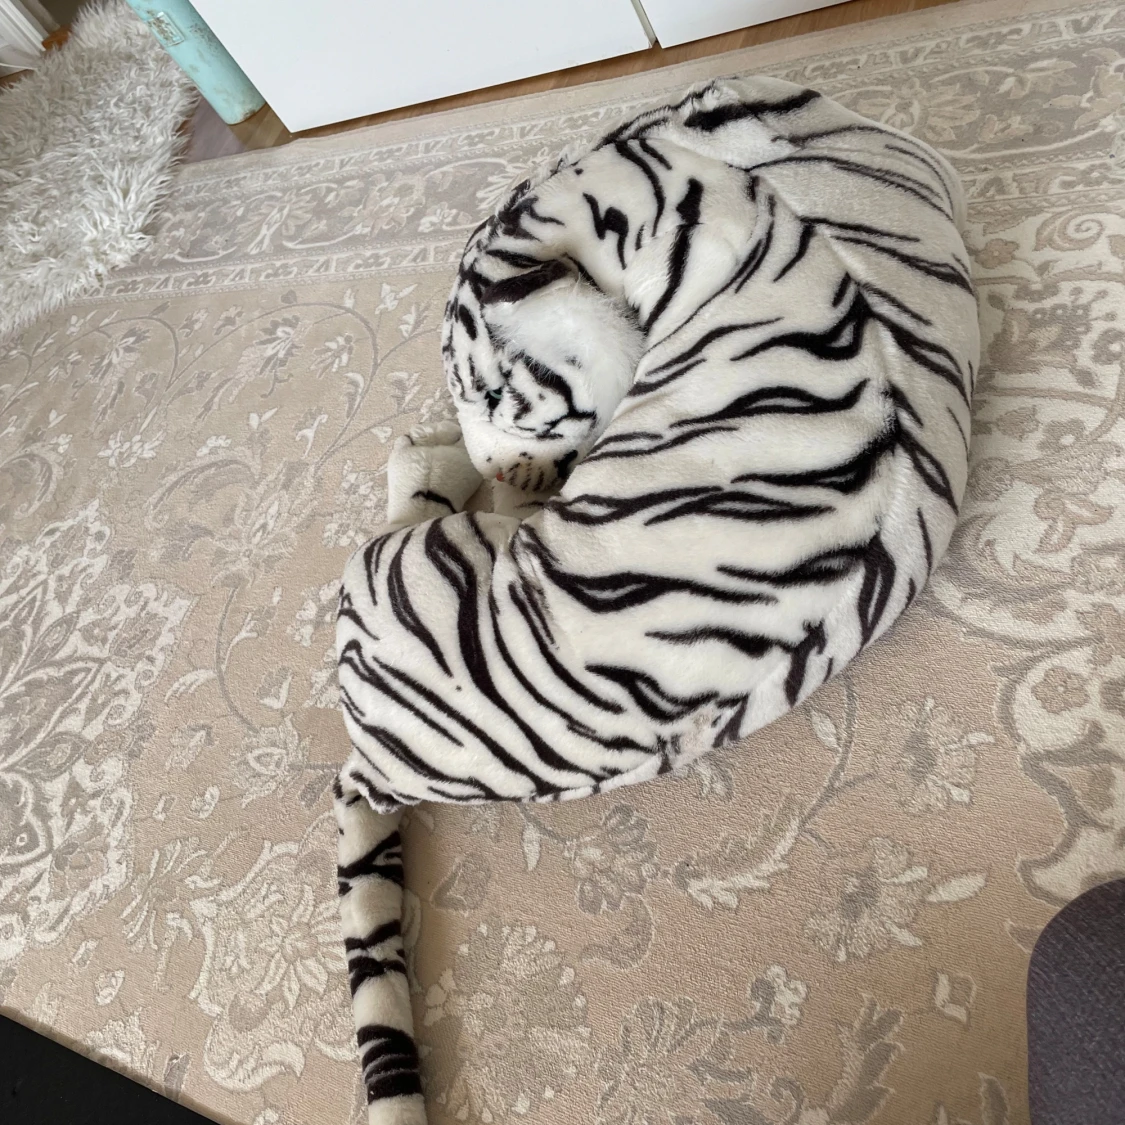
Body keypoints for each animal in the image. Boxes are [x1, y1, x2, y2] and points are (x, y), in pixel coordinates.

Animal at [331, 76, 979, 1125]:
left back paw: (423, 456)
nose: (513, 472)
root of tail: (375, 760)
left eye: (493, 396)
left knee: (408, 497)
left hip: (394, 562)